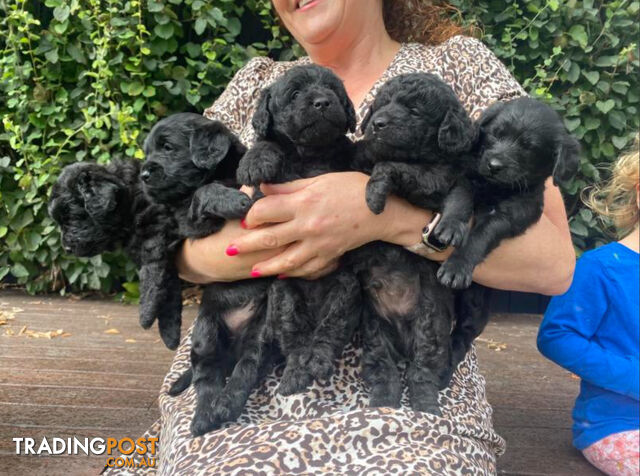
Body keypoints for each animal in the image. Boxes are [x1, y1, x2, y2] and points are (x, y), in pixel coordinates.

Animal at [236, 65, 364, 396]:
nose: (322, 102)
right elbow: (267, 143)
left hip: (345, 289)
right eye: (294, 94)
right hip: (284, 294)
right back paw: (295, 374)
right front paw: (254, 162)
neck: (311, 154)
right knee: (296, 340)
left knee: (329, 332)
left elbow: (354, 149)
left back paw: (316, 361)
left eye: (333, 91)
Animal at [350, 72, 480, 414]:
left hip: (430, 328)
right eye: (380, 105)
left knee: (422, 371)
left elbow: (402, 170)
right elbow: (364, 155)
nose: (377, 123)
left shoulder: (440, 176)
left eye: (415, 111)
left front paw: (375, 192)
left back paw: (425, 406)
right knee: (383, 369)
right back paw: (383, 401)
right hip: (374, 329)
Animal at [438, 96, 584, 288]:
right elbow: (460, 198)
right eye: (496, 134)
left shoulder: (514, 213)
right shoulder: (465, 176)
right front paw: (451, 225)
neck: (496, 187)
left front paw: (457, 265)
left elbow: (483, 233)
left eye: (528, 147)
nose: (493, 166)